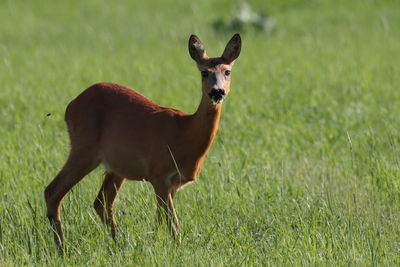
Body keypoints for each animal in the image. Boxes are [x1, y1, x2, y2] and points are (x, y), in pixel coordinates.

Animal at [45, 33, 242, 249]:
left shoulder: (173, 184)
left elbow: (161, 220)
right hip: (84, 149)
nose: (217, 92)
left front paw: (156, 244)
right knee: (53, 191)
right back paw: (62, 248)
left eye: (227, 72)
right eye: (204, 73)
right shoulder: (159, 174)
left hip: (116, 165)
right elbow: (173, 225)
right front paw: (177, 248)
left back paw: (117, 244)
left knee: (102, 201)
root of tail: (69, 107)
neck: (184, 133)